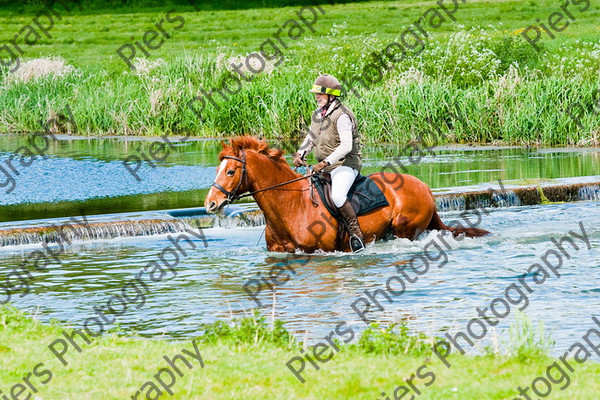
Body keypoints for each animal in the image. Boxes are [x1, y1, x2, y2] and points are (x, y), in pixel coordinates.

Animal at [204, 136, 490, 252]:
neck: (291, 204)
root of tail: (425, 187)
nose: (211, 204)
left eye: (230, 171)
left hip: (405, 228)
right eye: (218, 169)